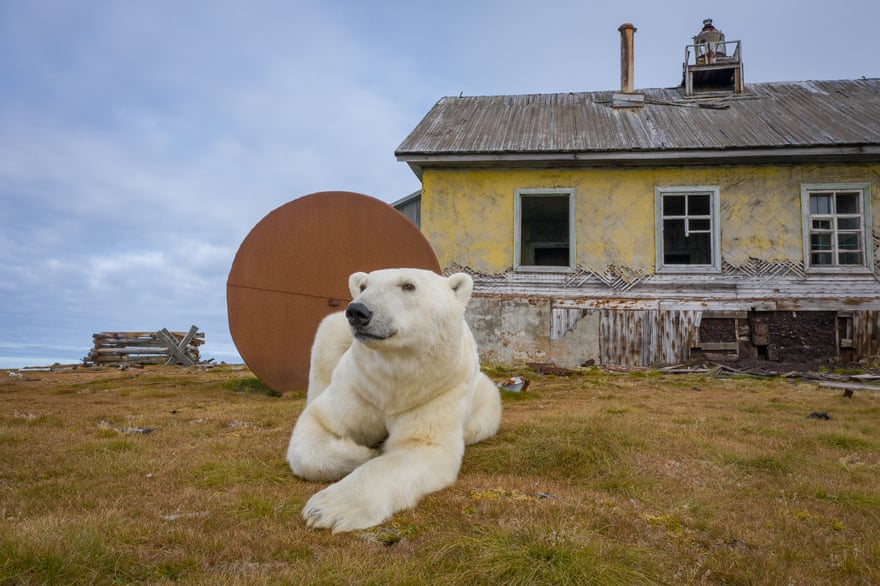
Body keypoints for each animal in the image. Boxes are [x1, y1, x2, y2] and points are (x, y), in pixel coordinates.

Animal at [286, 268, 502, 533]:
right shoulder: (359, 385)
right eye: (363, 286)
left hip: (484, 396)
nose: (358, 311)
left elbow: (420, 445)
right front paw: (363, 453)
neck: (395, 382)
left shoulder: (437, 391)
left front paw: (327, 509)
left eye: (408, 285)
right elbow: (318, 425)